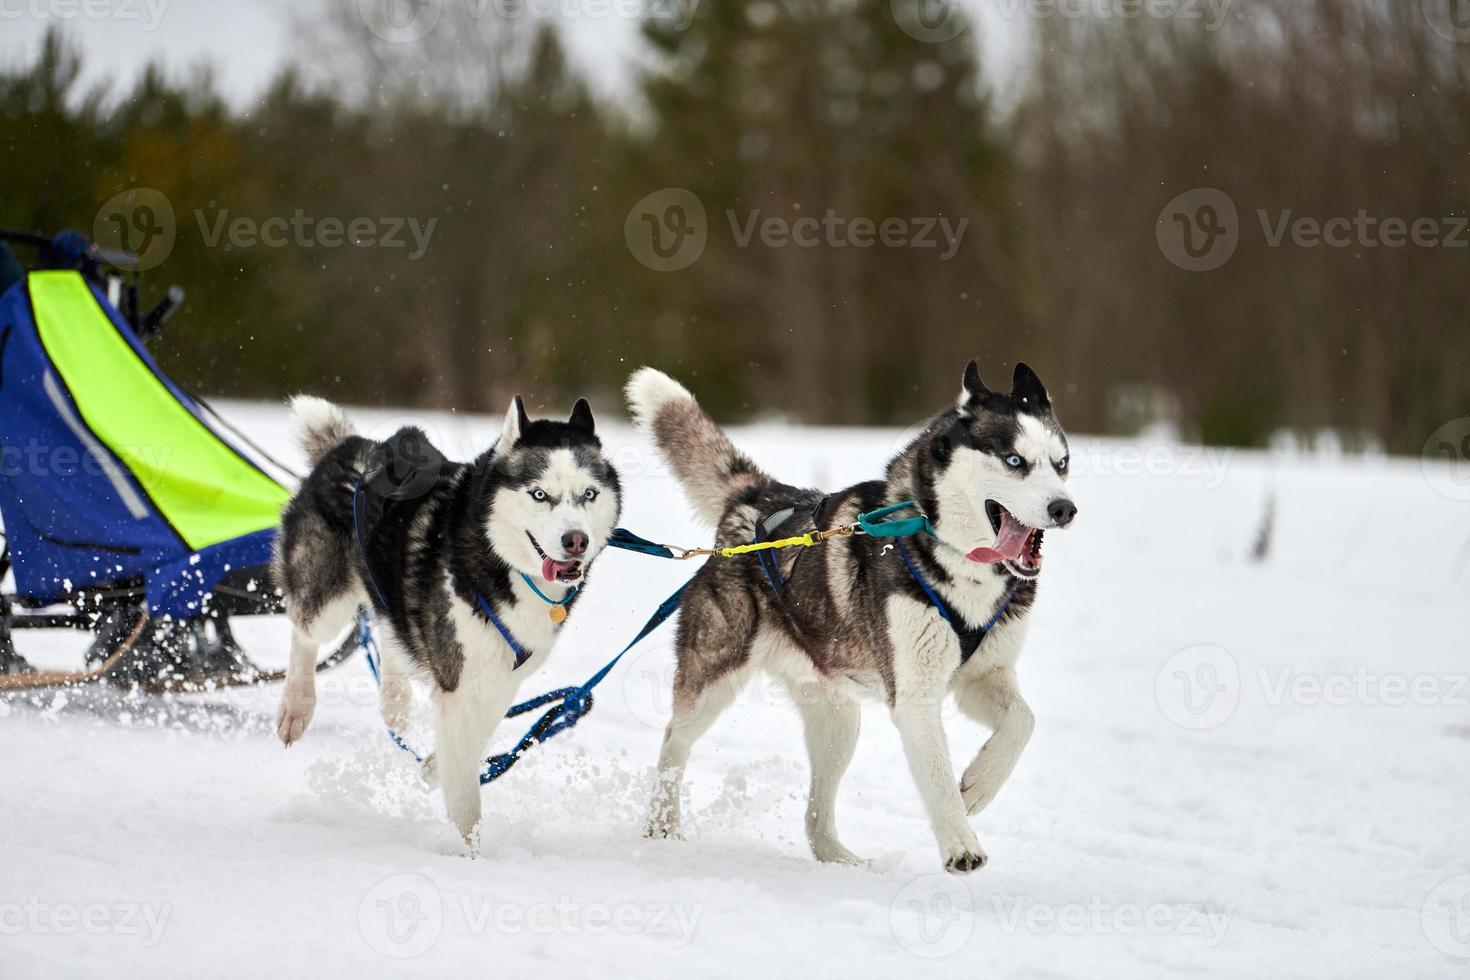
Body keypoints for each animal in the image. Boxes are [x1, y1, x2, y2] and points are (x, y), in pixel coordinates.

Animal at [271, 393, 620, 846]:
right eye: (540, 494)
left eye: (589, 494)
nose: (575, 540)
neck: (498, 560)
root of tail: (356, 447)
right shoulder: (459, 683)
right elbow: (467, 792)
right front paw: (468, 849)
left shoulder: (502, 678)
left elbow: (475, 739)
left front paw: (436, 767)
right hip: (326, 599)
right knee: (306, 633)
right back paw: (297, 707)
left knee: (391, 629)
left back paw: (395, 701)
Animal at [626, 359, 1076, 875]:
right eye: (1015, 461)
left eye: (1061, 463)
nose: (1065, 508)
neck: (959, 563)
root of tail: (758, 497)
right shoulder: (915, 697)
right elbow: (938, 779)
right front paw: (961, 845)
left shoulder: (982, 676)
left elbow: (1023, 721)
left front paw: (979, 784)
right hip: (715, 677)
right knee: (673, 742)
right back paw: (662, 824)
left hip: (838, 720)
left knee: (816, 808)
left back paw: (837, 857)